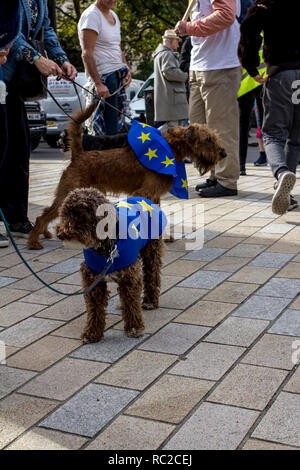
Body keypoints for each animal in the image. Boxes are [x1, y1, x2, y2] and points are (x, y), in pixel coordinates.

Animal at [28, 101, 226, 252]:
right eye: (208, 139)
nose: (223, 154)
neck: (169, 149)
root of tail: (78, 154)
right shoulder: (145, 193)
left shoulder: (154, 196)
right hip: (68, 192)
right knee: (43, 215)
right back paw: (34, 241)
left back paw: (45, 234)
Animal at [56, 187, 164, 346]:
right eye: (65, 214)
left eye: (81, 216)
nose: (60, 234)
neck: (106, 246)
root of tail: (144, 199)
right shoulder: (92, 279)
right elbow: (95, 309)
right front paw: (92, 333)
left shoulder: (130, 275)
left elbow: (131, 302)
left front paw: (134, 327)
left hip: (152, 250)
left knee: (152, 275)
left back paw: (150, 301)